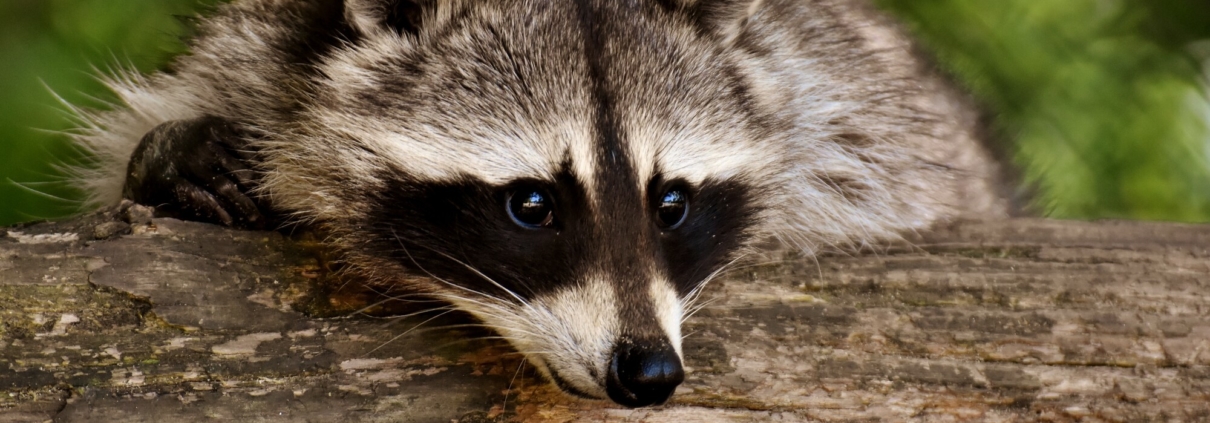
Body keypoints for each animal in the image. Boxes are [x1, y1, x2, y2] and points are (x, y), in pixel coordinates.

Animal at [68, 0, 1005, 408]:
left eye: (672, 202)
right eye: (531, 205)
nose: (648, 371)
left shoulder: (849, 104)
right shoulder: (251, 55)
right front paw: (167, 161)